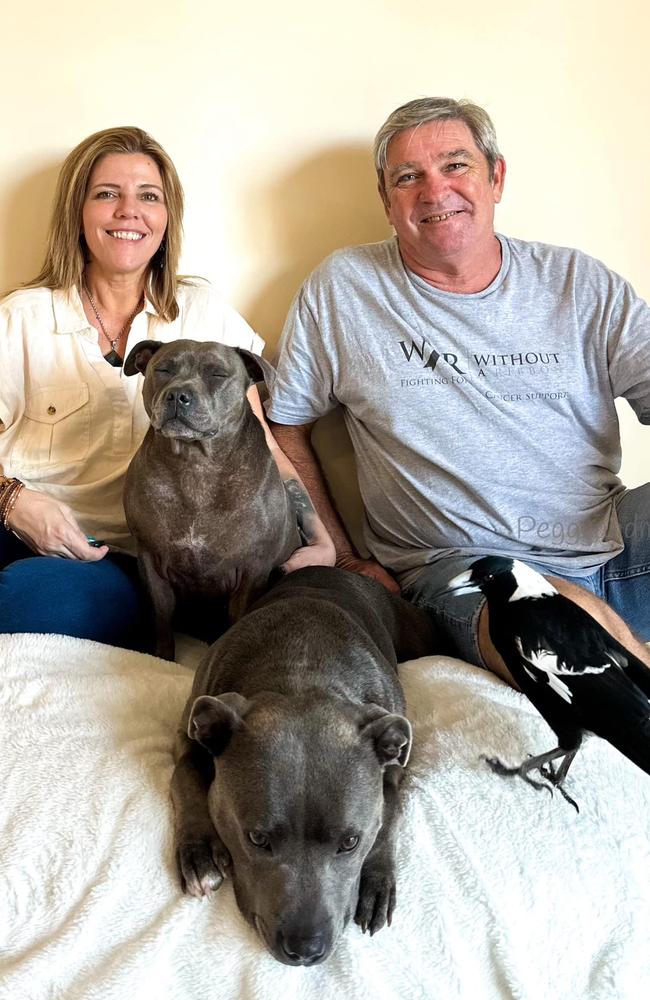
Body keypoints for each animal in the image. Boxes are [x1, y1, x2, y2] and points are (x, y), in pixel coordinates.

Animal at [170, 568, 438, 964]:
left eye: (351, 842)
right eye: (257, 838)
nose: (305, 948)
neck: (301, 676)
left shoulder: (391, 771)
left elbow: (389, 816)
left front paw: (376, 881)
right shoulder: (190, 730)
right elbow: (186, 774)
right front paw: (200, 851)